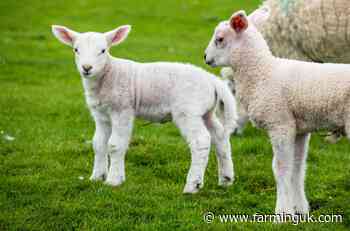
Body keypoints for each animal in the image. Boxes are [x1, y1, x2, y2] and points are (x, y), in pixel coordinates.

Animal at [51, 24, 238, 193]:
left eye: (103, 50)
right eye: (76, 50)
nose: (87, 68)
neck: (108, 74)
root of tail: (212, 80)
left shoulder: (122, 109)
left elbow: (114, 145)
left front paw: (113, 180)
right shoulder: (101, 115)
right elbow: (98, 144)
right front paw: (97, 177)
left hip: (188, 110)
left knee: (201, 141)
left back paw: (193, 185)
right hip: (206, 112)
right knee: (220, 136)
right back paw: (226, 179)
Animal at [204, 7, 350, 217]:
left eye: (220, 39)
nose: (205, 57)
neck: (262, 72)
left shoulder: (280, 123)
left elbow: (280, 169)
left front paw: (282, 212)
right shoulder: (299, 129)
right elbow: (297, 168)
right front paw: (300, 210)